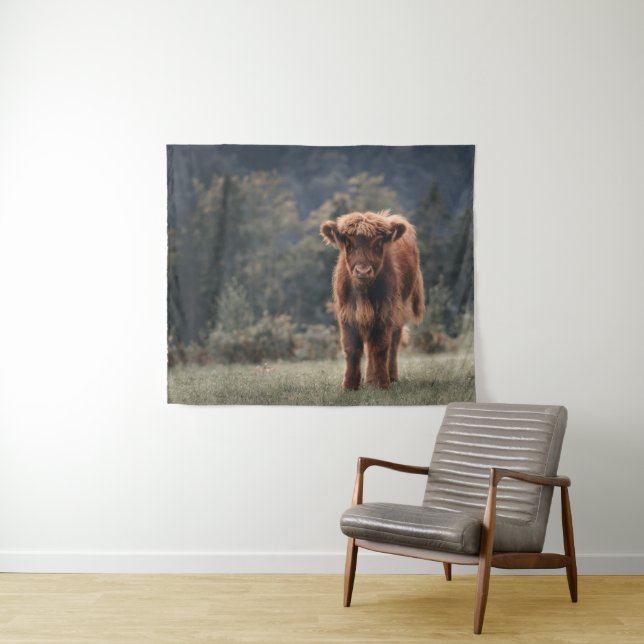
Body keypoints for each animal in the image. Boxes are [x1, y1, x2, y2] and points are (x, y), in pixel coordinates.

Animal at [320, 210, 425, 390]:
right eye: (349, 244)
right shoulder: (346, 314)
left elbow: (381, 347)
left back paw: (391, 376)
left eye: (378, 244)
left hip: (400, 311)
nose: (363, 271)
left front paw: (382, 383)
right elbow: (352, 348)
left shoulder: (385, 312)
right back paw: (369, 380)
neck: (363, 294)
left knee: (393, 342)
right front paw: (349, 385)